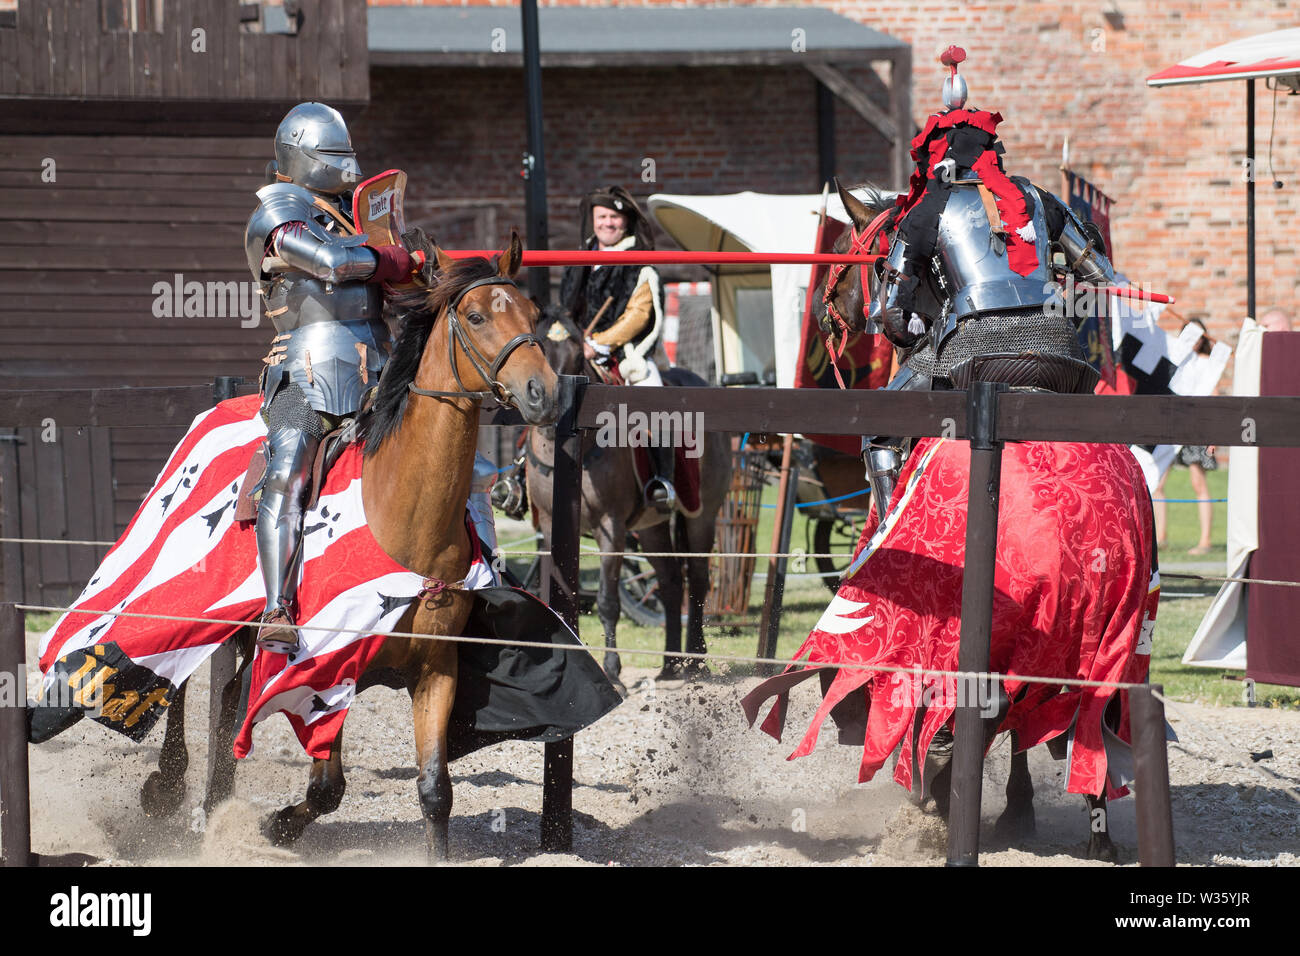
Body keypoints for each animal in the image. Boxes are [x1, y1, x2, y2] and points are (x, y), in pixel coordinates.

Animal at [525, 306, 733, 686]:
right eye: (540, 350)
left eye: (578, 358)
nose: (546, 412)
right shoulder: (548, 527)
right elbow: (558, 597)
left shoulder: (612, 528)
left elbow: (608, 601)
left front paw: (612, 671)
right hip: (650, 528)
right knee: (670, 582)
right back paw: (670, 664)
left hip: (701, 515)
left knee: (697, 579)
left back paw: (695, 661)